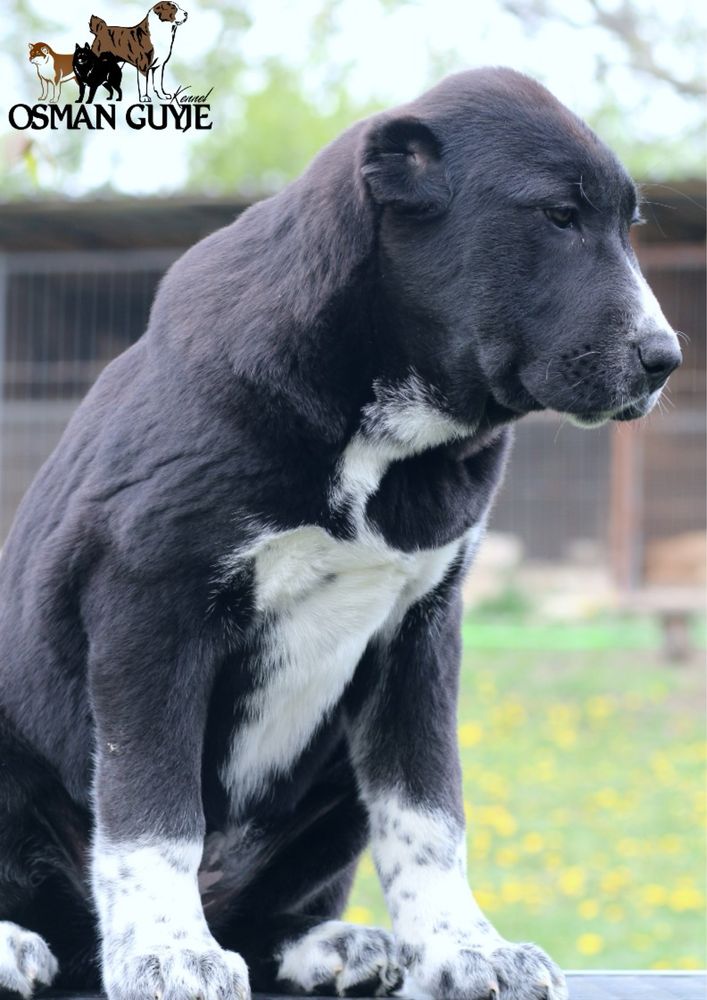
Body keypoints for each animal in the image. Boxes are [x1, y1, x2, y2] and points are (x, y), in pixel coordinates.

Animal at [0, 68, 680, 1000]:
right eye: (557, 216)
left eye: (625, 225)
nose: (665, 358)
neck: (390, 435)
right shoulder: (148, 604)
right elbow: (153, 810)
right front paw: (168, 951)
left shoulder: (419, 631)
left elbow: (427, 809)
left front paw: (465, 947)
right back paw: (18, 942)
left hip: (329, 779)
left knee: (262, 916)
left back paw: (329, 946)